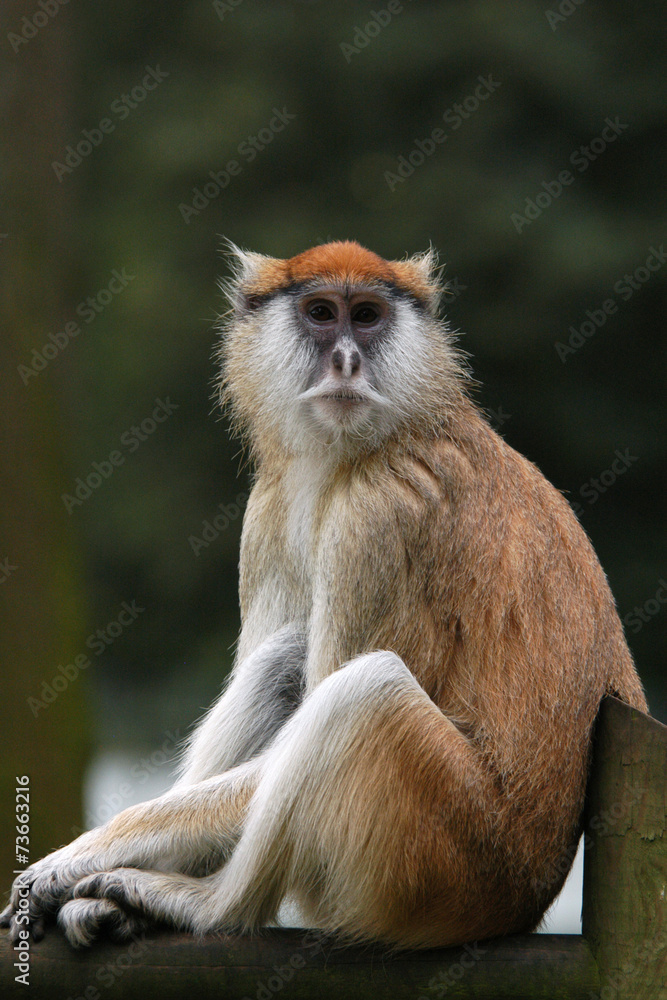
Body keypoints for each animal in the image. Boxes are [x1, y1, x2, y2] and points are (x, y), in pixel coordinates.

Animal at [2, 240, 647, 951]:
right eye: (320, 313)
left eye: (365, 315)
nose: (346, 359)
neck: (379, 438)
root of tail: (527, 900)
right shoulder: (269, 503)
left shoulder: (380, 514)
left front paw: (70, 860)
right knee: (291, 655)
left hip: (445, 858)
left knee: (365, 691)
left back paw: (212, 906)